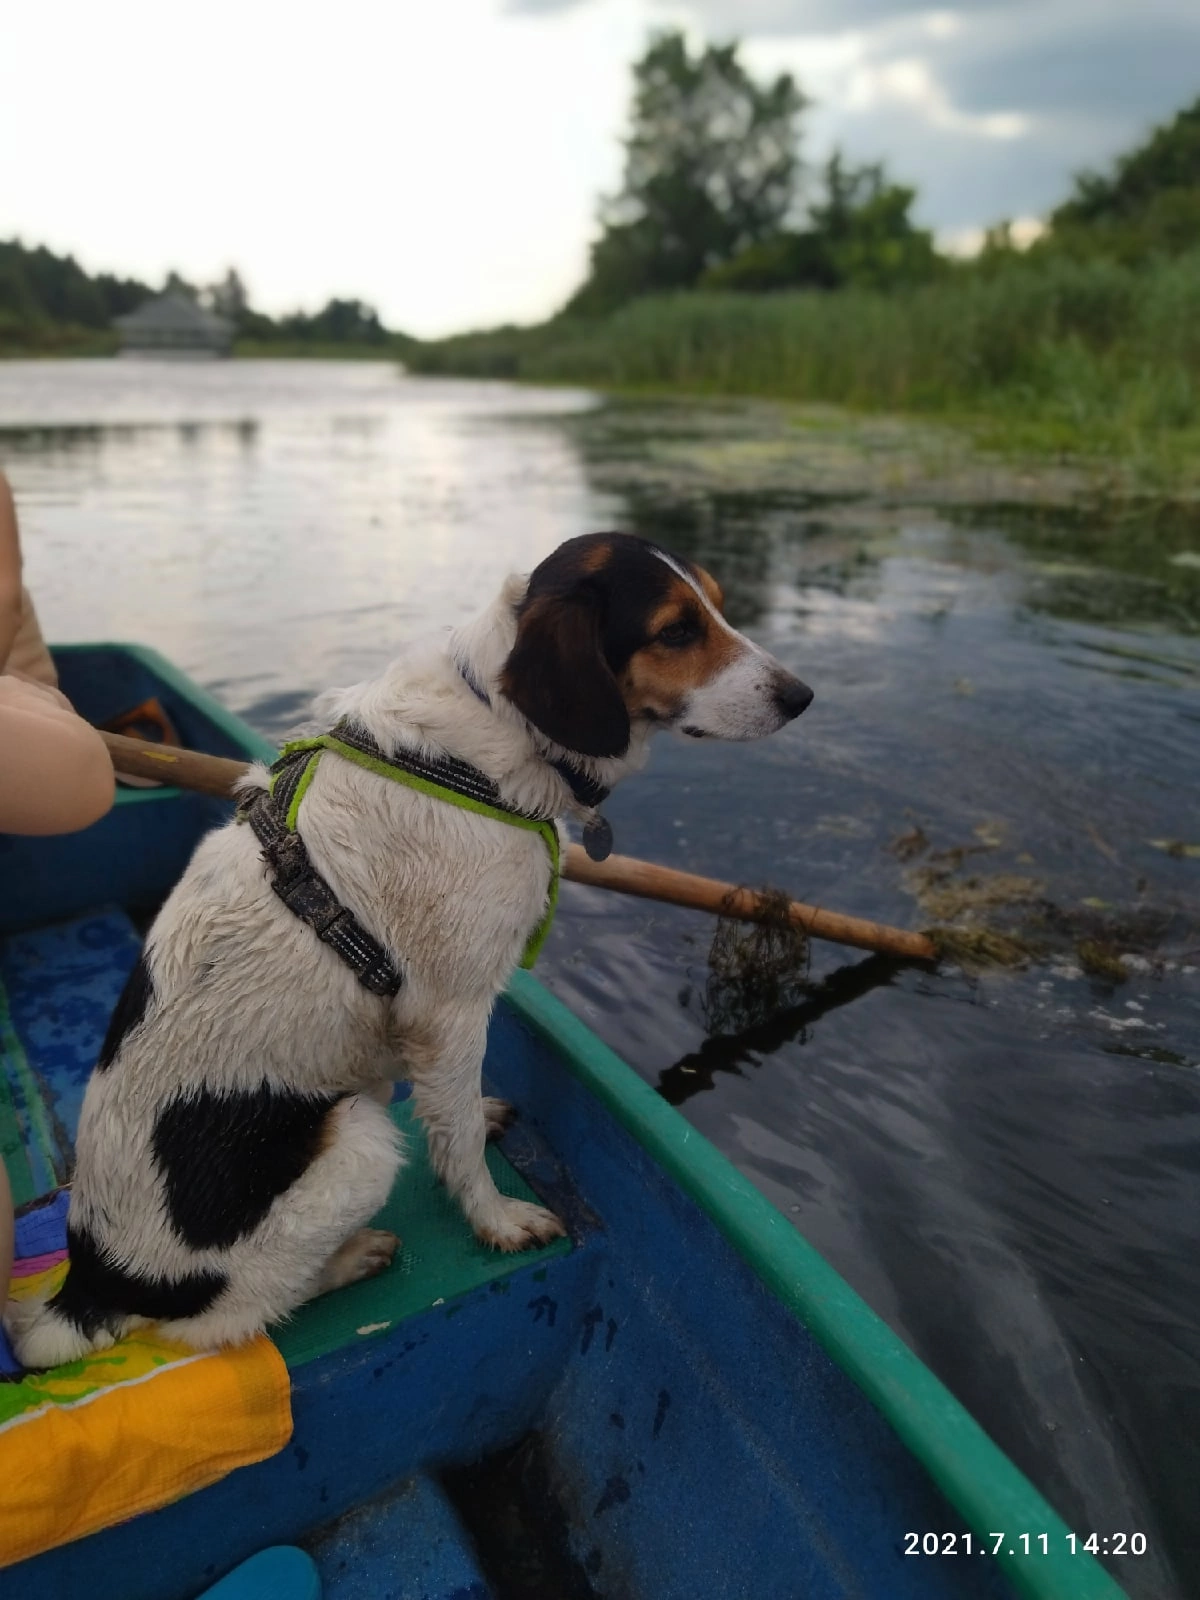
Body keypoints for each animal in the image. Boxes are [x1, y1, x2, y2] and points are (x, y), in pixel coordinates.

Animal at [4, 534, 812, 1363]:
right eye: (676, 630)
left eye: (716, 605)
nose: (801, 696)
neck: (495, 740)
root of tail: (92, 1279)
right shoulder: (449, 1014)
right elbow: (458, 1143)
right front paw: (497, 1222)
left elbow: (453, 1113)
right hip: (358, 1138)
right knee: (226, 1320)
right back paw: (350, 1257)